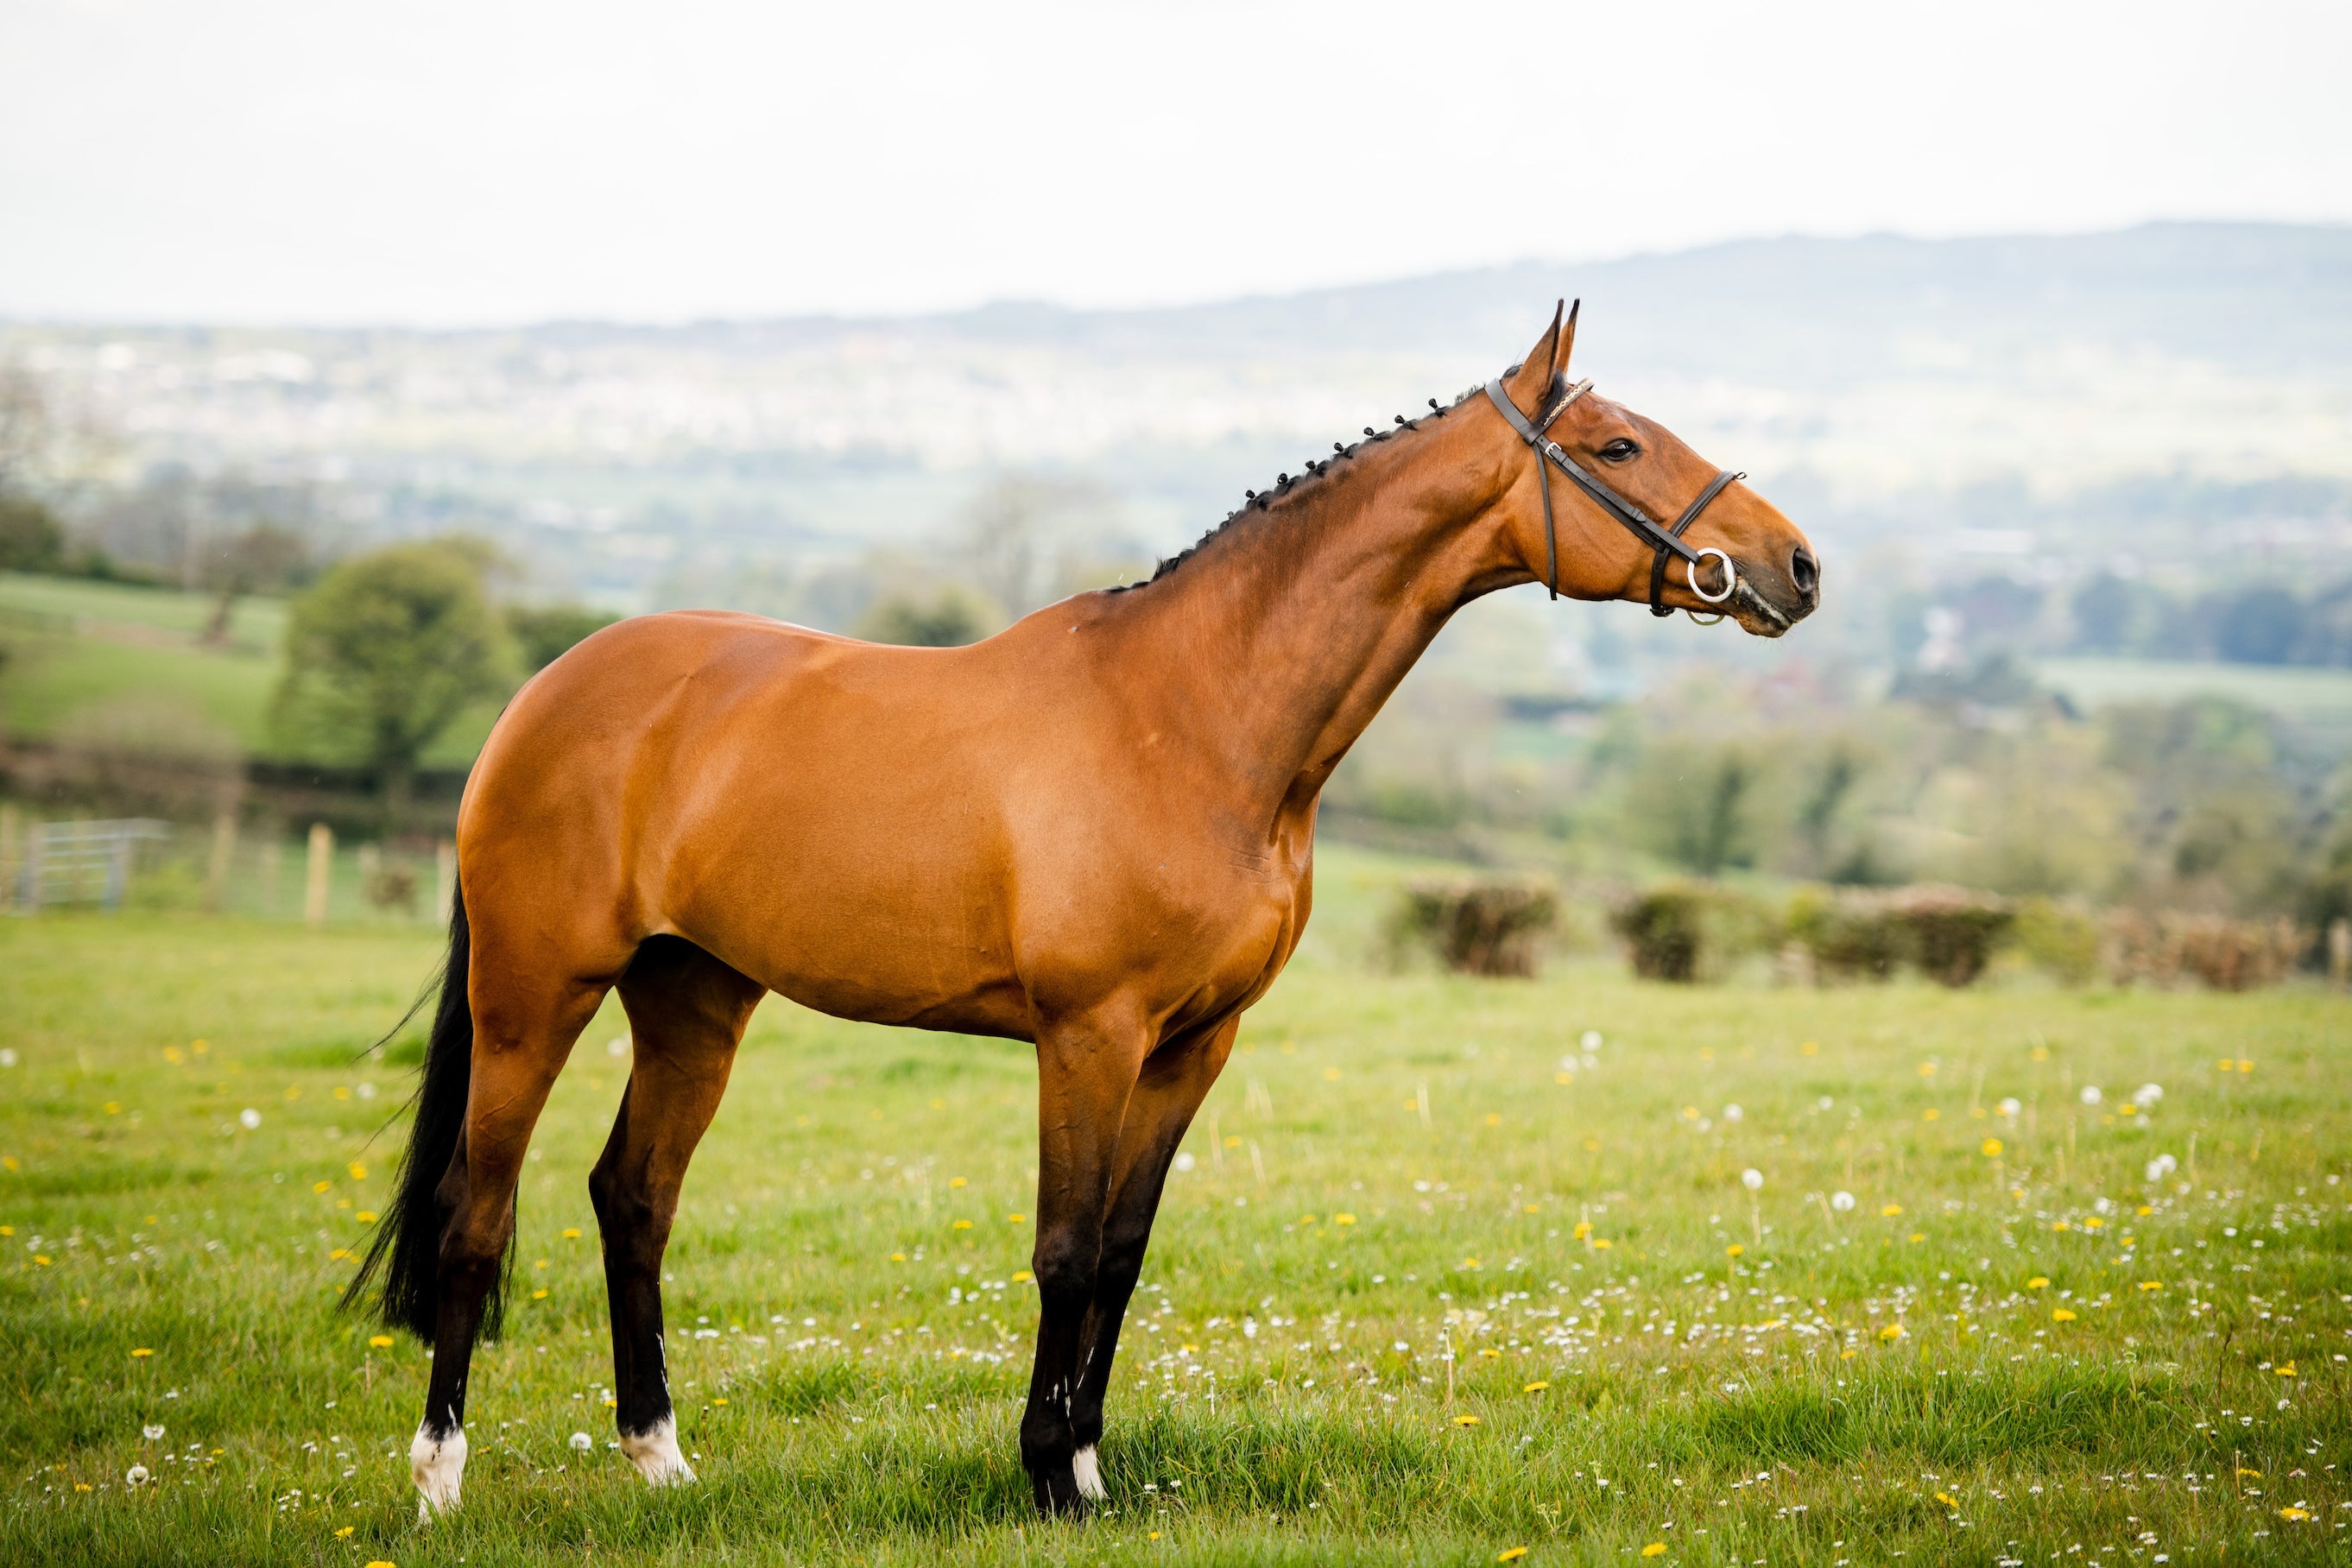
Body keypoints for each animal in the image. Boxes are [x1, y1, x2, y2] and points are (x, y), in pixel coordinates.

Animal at [351, 302, 1820, 1519]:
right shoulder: (1089, 1035)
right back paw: (439, 1481)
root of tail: (543, 695)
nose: (1795, 567)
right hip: (535, 995)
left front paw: (1094, 1469)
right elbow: (1063, 1252)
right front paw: (1048, 1481)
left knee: (634, 1198)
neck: (1193, 715)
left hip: (693, 999)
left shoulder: (1192, 1046)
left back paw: (660, 1461)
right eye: (1620, 444)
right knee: (478, 1215)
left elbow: (1119, 1252)